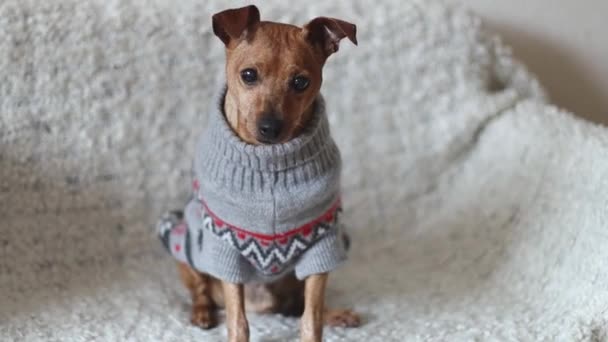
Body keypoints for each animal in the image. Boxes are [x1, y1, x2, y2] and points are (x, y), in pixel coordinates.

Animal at [157, 5, 358, 342]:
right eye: (248, 75)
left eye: (301, 82)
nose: (270, 128)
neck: (269, 165)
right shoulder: (227, 248)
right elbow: (238, 320)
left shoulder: (322, 243)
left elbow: (312, 315)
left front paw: (318, 324)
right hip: (185, 243)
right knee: (201, 290)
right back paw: (201, 313)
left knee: (299, 305)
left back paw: (336, 313)